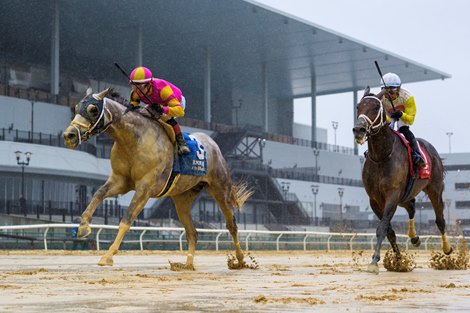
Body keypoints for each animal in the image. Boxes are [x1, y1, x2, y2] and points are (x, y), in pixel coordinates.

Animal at [65, 89, 253, 270]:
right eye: (76, 108)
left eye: (93, 109)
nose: (69, 135)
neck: (134, 139)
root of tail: (213, 145)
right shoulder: (121, 180)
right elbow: (98, 194)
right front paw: (83, 227)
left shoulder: (145, 187)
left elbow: (127, 219)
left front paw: (108, 256)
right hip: (182, 198)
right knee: (192, 232)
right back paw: (187, 264)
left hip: (219, 189)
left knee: (232, 225)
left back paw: (240, 260)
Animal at [352, 86, 452, 272]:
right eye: (358, 107)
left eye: (376, 108)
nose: (359, 129)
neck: (382, 156)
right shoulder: (375, 200)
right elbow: (389, 231)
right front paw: (398, 261)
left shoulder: (392, 194)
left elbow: (383, 226)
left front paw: (374, 262)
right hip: (405, 195)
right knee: (412, 207)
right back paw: (414, 238)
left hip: (434, 189)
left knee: (440, 220)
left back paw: (447, 249)